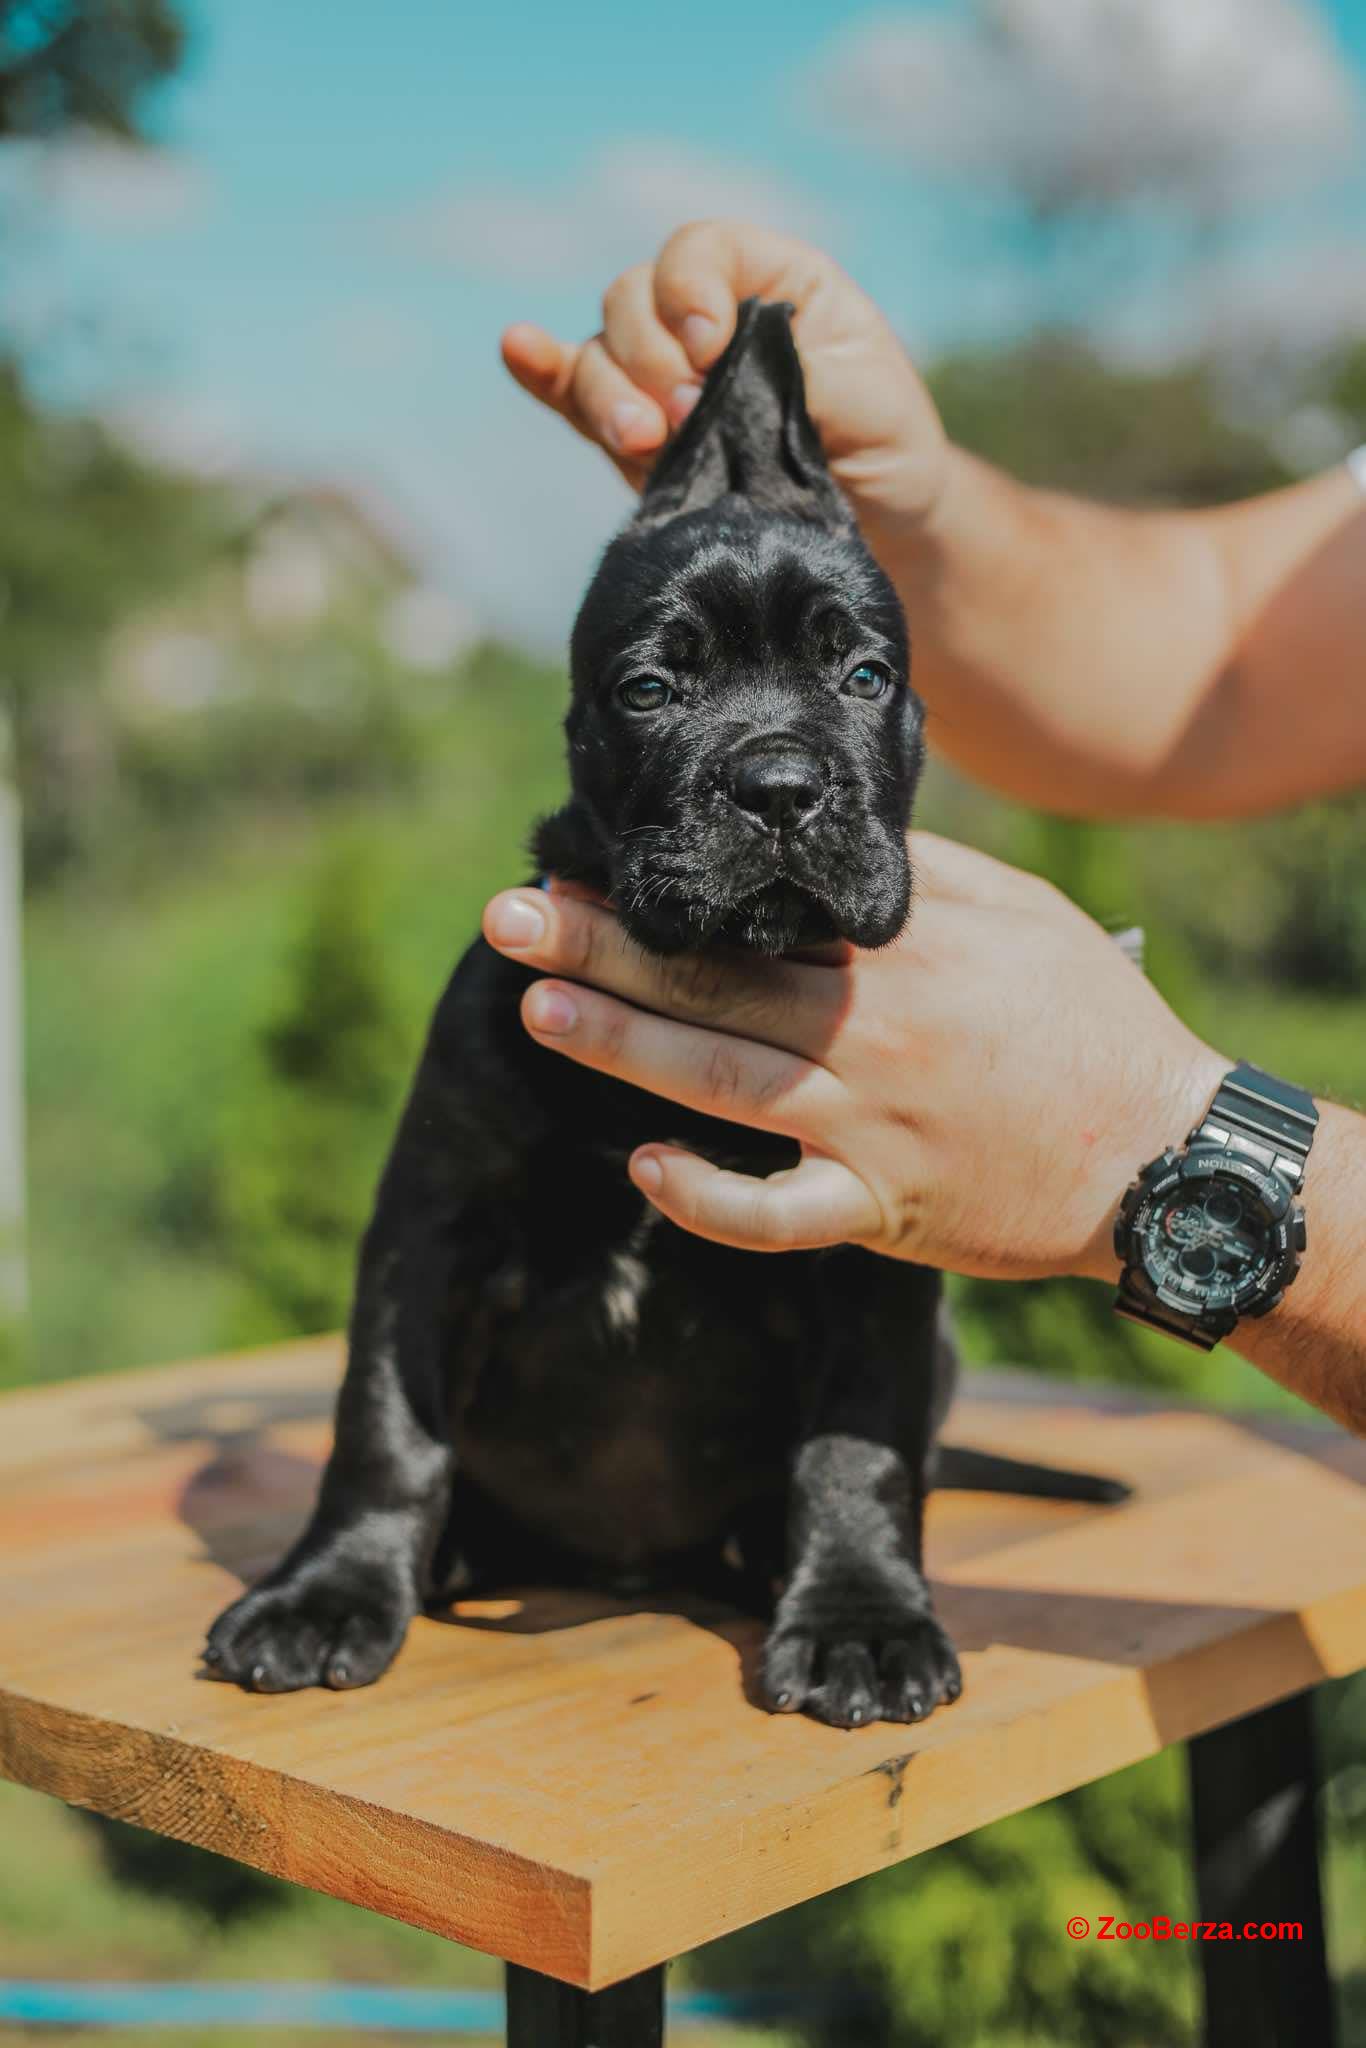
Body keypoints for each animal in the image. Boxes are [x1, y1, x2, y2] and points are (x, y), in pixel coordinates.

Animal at [202, 299, 1122, 1728]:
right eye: (649, 689)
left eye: (864, 676)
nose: (782, 787)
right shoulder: (430, 1231)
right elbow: (384, 1427)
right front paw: (329, 1590)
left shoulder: (869, 1256)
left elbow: (858, 1445)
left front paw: (859, 1614)